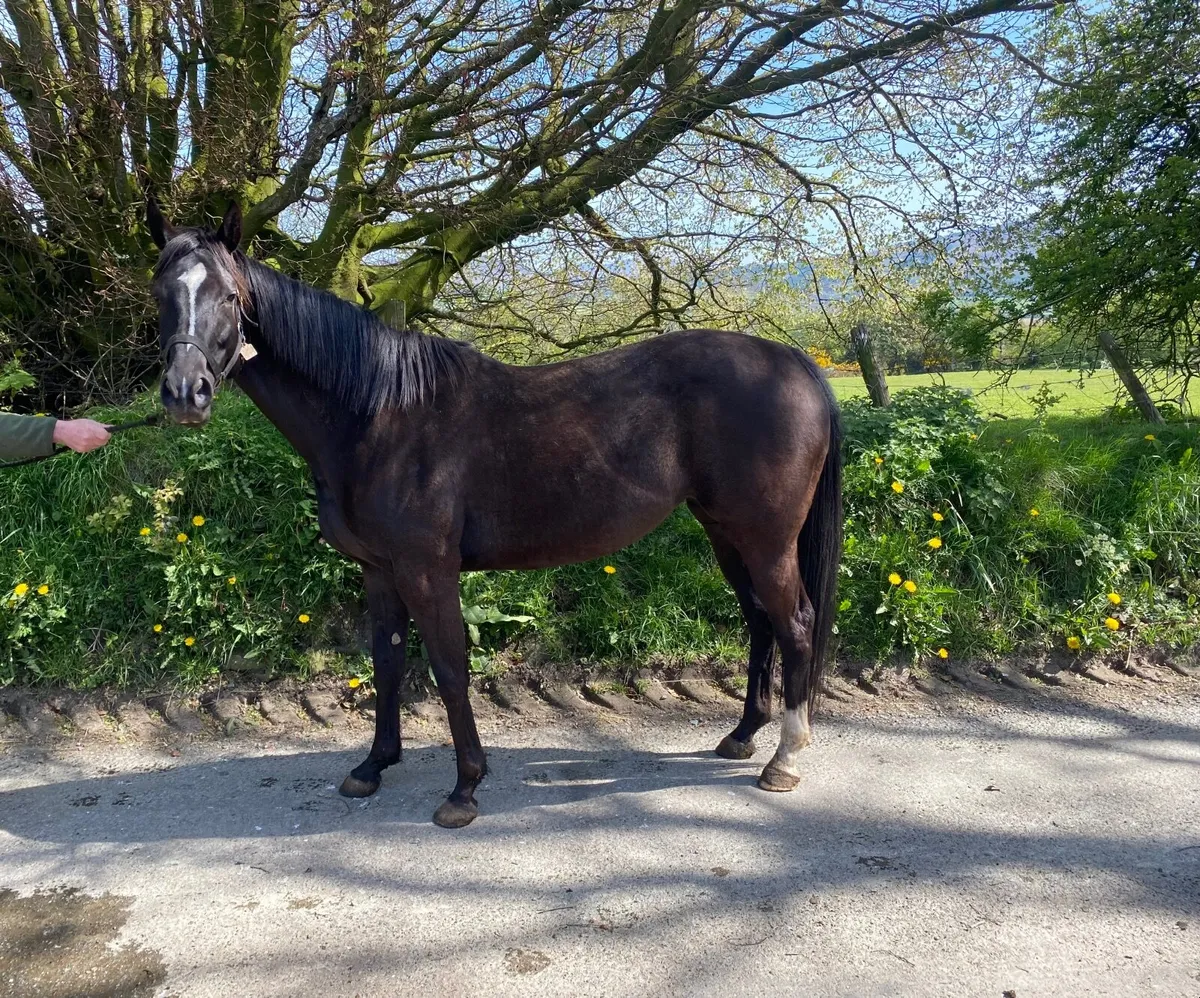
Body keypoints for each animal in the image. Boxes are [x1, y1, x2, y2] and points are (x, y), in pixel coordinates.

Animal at [147, 199, 843, 828]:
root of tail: (795, 362)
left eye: (229, 298)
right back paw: (743, 735)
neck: (378, 415)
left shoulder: (428, 570)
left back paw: (783, 759)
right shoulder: (378, 569)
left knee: (796, 624)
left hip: (765, 539)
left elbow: (450, 669)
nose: (185, 394)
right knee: (760, 621)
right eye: (161, 295)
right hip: (725, 533)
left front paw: (464, 789)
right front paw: (373, 766)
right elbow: (387, 663)